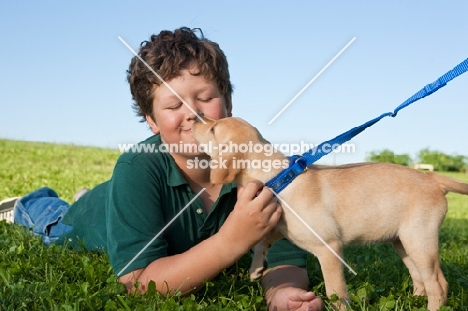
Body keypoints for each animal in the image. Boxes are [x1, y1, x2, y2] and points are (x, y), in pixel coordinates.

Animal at [191, 116, 468, 310]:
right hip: (403, 243)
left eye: (214, 129)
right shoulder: (282, 225)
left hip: (419, 240)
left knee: (438, 283)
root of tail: (433, 179)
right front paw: (256, 268)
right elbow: (263, 240)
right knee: (419, 278)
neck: (279, 178)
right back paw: (415, 302)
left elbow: (335, 292)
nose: (194, 121)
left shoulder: (329, 248)